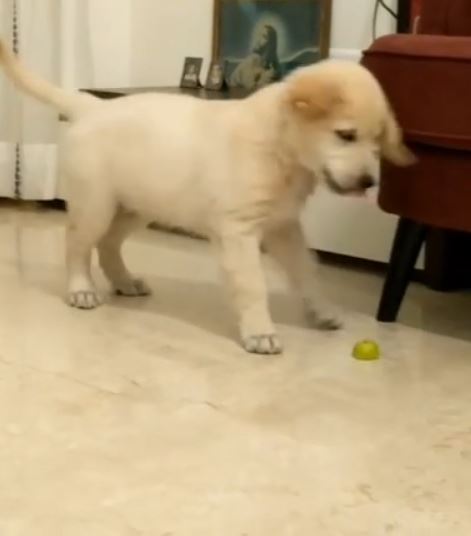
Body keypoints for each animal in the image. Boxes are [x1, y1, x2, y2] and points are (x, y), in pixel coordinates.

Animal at [0, 40, 415, 355]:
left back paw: (126, 281)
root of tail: (93, 105)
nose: (368, 182)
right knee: (77, 245)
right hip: (96, 204)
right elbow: (252, 285)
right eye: (346, 135)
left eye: (378, 140)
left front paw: (323, 310)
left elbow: (307, 271)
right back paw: (81, 289)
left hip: (140, 204)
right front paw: (260, 332)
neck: (279, 149)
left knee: (108, 245)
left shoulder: (284, 227)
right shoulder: (239, 231)